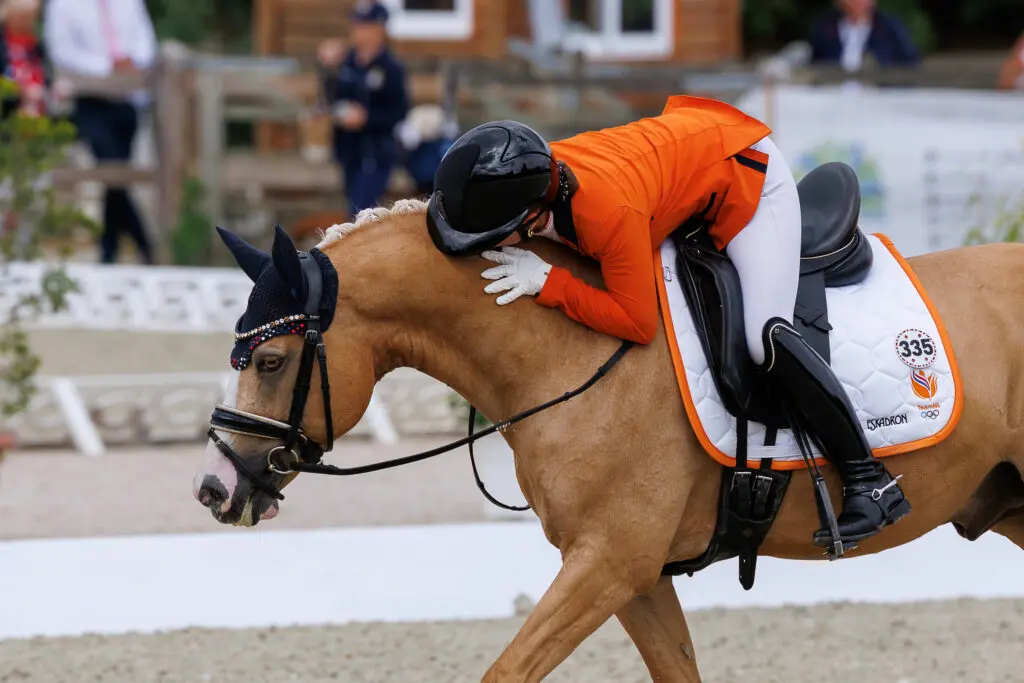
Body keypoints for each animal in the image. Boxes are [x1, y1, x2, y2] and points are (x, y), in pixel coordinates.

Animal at [193, 190, 1024, 682]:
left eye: (268, 360)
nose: (214, 487)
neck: (568, 347)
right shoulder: (636, 575)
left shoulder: (608, 562)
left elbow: (506, 671)